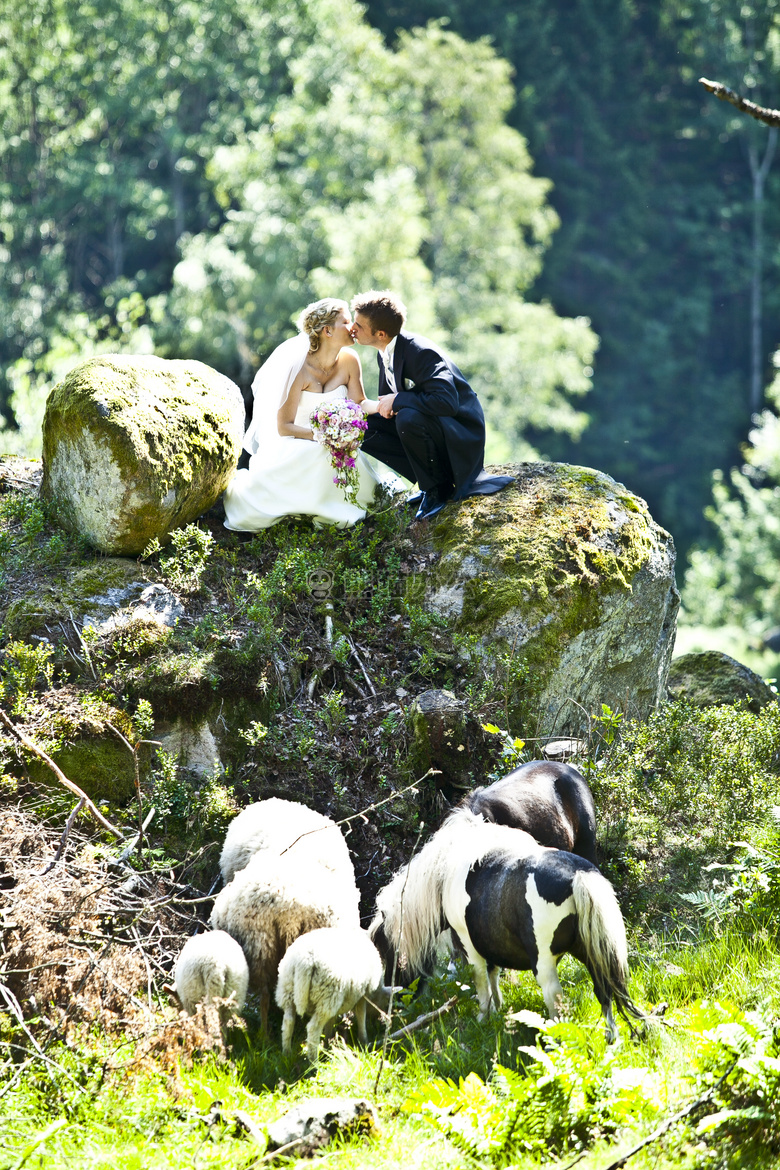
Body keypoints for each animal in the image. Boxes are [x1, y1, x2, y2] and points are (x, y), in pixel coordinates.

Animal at [275, 926, 385, 1067]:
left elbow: (331, 1022)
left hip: (288, 990)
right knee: (313, 1028)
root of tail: (304, 961)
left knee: (288, 1021)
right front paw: (364, 1041)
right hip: (327, 995)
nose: (379, 1021)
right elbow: (361, 1016)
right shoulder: (361, 994)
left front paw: (328, 1043)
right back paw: (314, 1063)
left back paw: (287, 1053)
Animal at [369, 809, 645, 1038]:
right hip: (592, 954)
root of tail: (577, 875)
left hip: (544, 964)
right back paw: (612, 1041)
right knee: (605, 993)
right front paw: (498, 1010)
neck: (444, 874)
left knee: (556, 1001)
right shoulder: (488, 941)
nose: (383, 1016)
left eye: (385, 953)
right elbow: (493, 974)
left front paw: (483, 1017)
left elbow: (481, 979)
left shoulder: (470, 944)